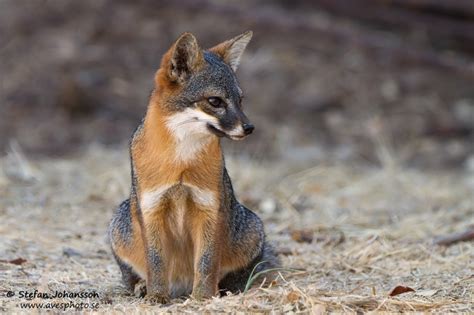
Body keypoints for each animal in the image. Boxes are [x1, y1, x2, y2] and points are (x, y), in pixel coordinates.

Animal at [109, 31, 280, 304]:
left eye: (240, 100)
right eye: (215, 101)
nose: (249, 128)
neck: (181, 162)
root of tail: (180, 284)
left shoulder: (209, 208)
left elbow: (206, 263)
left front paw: (202, 297)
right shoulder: (151, 209)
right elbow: (156, 262)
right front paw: (157, 296)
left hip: (252, 229)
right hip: (120, 225)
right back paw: (142, 287)